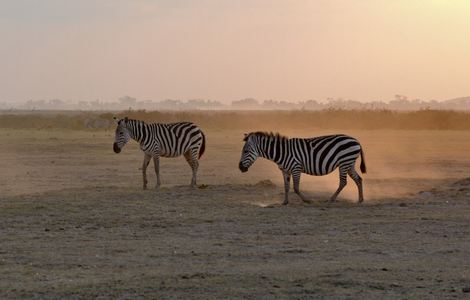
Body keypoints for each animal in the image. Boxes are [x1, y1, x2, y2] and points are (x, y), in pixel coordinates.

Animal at [239, 132, 368, 205]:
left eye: (245, 151)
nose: (240, 168)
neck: (282, 152)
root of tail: (356, 140)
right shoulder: (285, 171)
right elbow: (286, 187)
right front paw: (285, 202)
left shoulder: (296, 168)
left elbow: (296, 188)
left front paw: (308, 200)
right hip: (349, 163)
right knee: (358, 179)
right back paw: (360, 199)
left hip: (344, 162)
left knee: (343, 182)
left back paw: (331, 199)